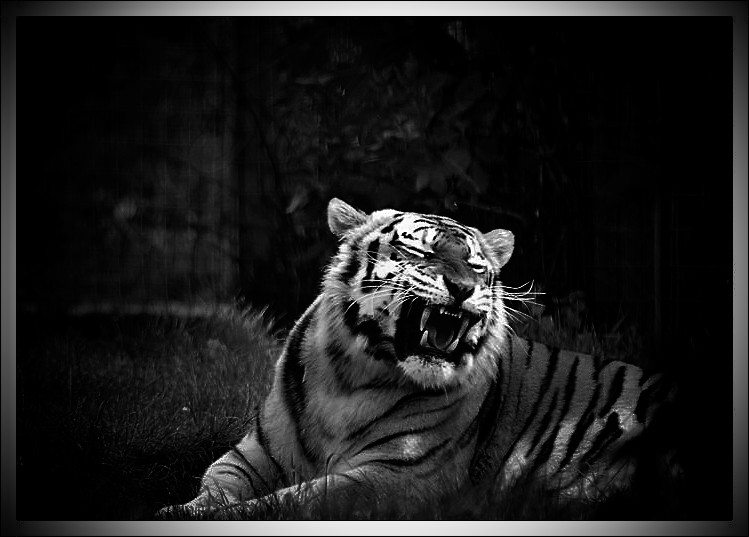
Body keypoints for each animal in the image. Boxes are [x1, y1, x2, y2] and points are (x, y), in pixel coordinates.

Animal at [157, 197, 674, 519]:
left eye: (477, 266)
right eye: (419, 252)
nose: (463, 287)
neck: (346, 377)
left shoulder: (396, 476)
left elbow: (290, 500)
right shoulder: (252, 455)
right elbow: (214, 483)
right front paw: (179, 509)